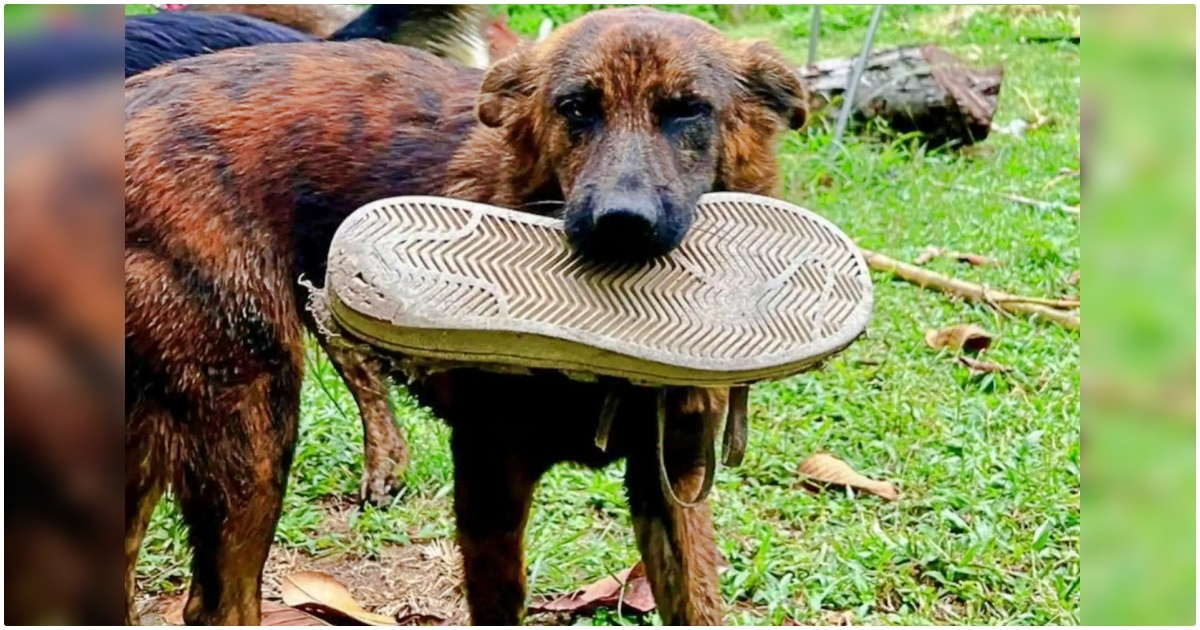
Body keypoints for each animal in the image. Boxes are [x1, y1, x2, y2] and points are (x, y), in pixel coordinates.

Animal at [126, 7, 806, 624]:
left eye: (688, 110)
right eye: (575, 108)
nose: (621, 224)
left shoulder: (675, 483)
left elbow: (699, 602)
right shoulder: (487, 472)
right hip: (254, 427)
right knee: (217, 604)